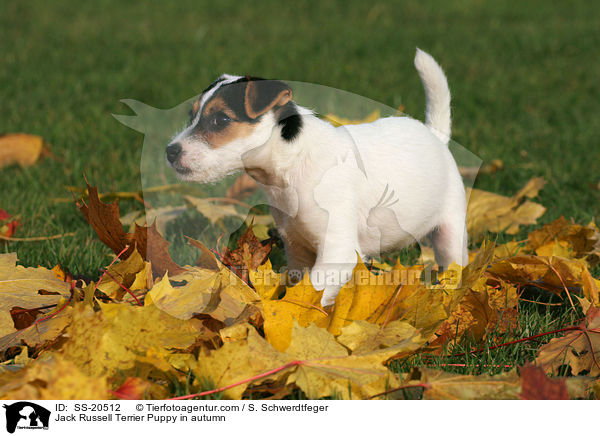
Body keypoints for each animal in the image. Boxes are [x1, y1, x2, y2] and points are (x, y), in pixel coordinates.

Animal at [166, 48, 472, 306]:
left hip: (450, 232)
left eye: (221, 120)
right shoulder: (296, 248)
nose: (170, 151)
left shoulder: (338, 251)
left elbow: (313, 292)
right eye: (192, 116)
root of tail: (435, 135)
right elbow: (299, 285)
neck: (294, 162)